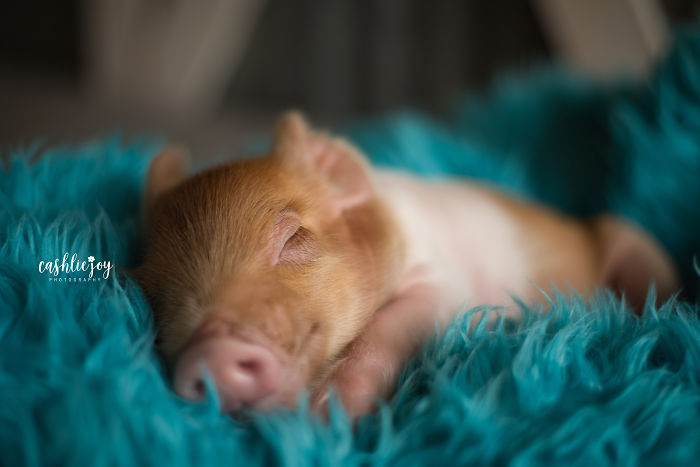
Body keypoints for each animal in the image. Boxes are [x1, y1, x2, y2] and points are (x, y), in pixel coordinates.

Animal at [135, 112, 679, 418]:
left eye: (292, 237)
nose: (211, 353)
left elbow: (384, 333)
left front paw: (326, 416)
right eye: (153, 295)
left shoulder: (445, 287)